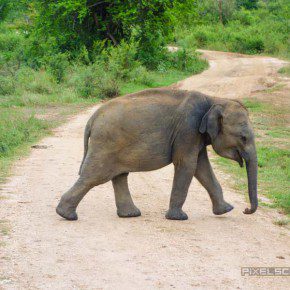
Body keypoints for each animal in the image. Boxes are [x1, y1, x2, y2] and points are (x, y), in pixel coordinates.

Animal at [56, 88, 258, 220]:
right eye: (243, 137)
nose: (246, 210)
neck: (214, 99)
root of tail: (92, 119)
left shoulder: (196, 135)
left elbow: (202, 168)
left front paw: (226, 210)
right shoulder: (188, 130)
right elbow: (187, 165)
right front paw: (179, 218)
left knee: (119, 175)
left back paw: (130, 214)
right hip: (105, 144)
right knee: (94, 176)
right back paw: (66, 215)